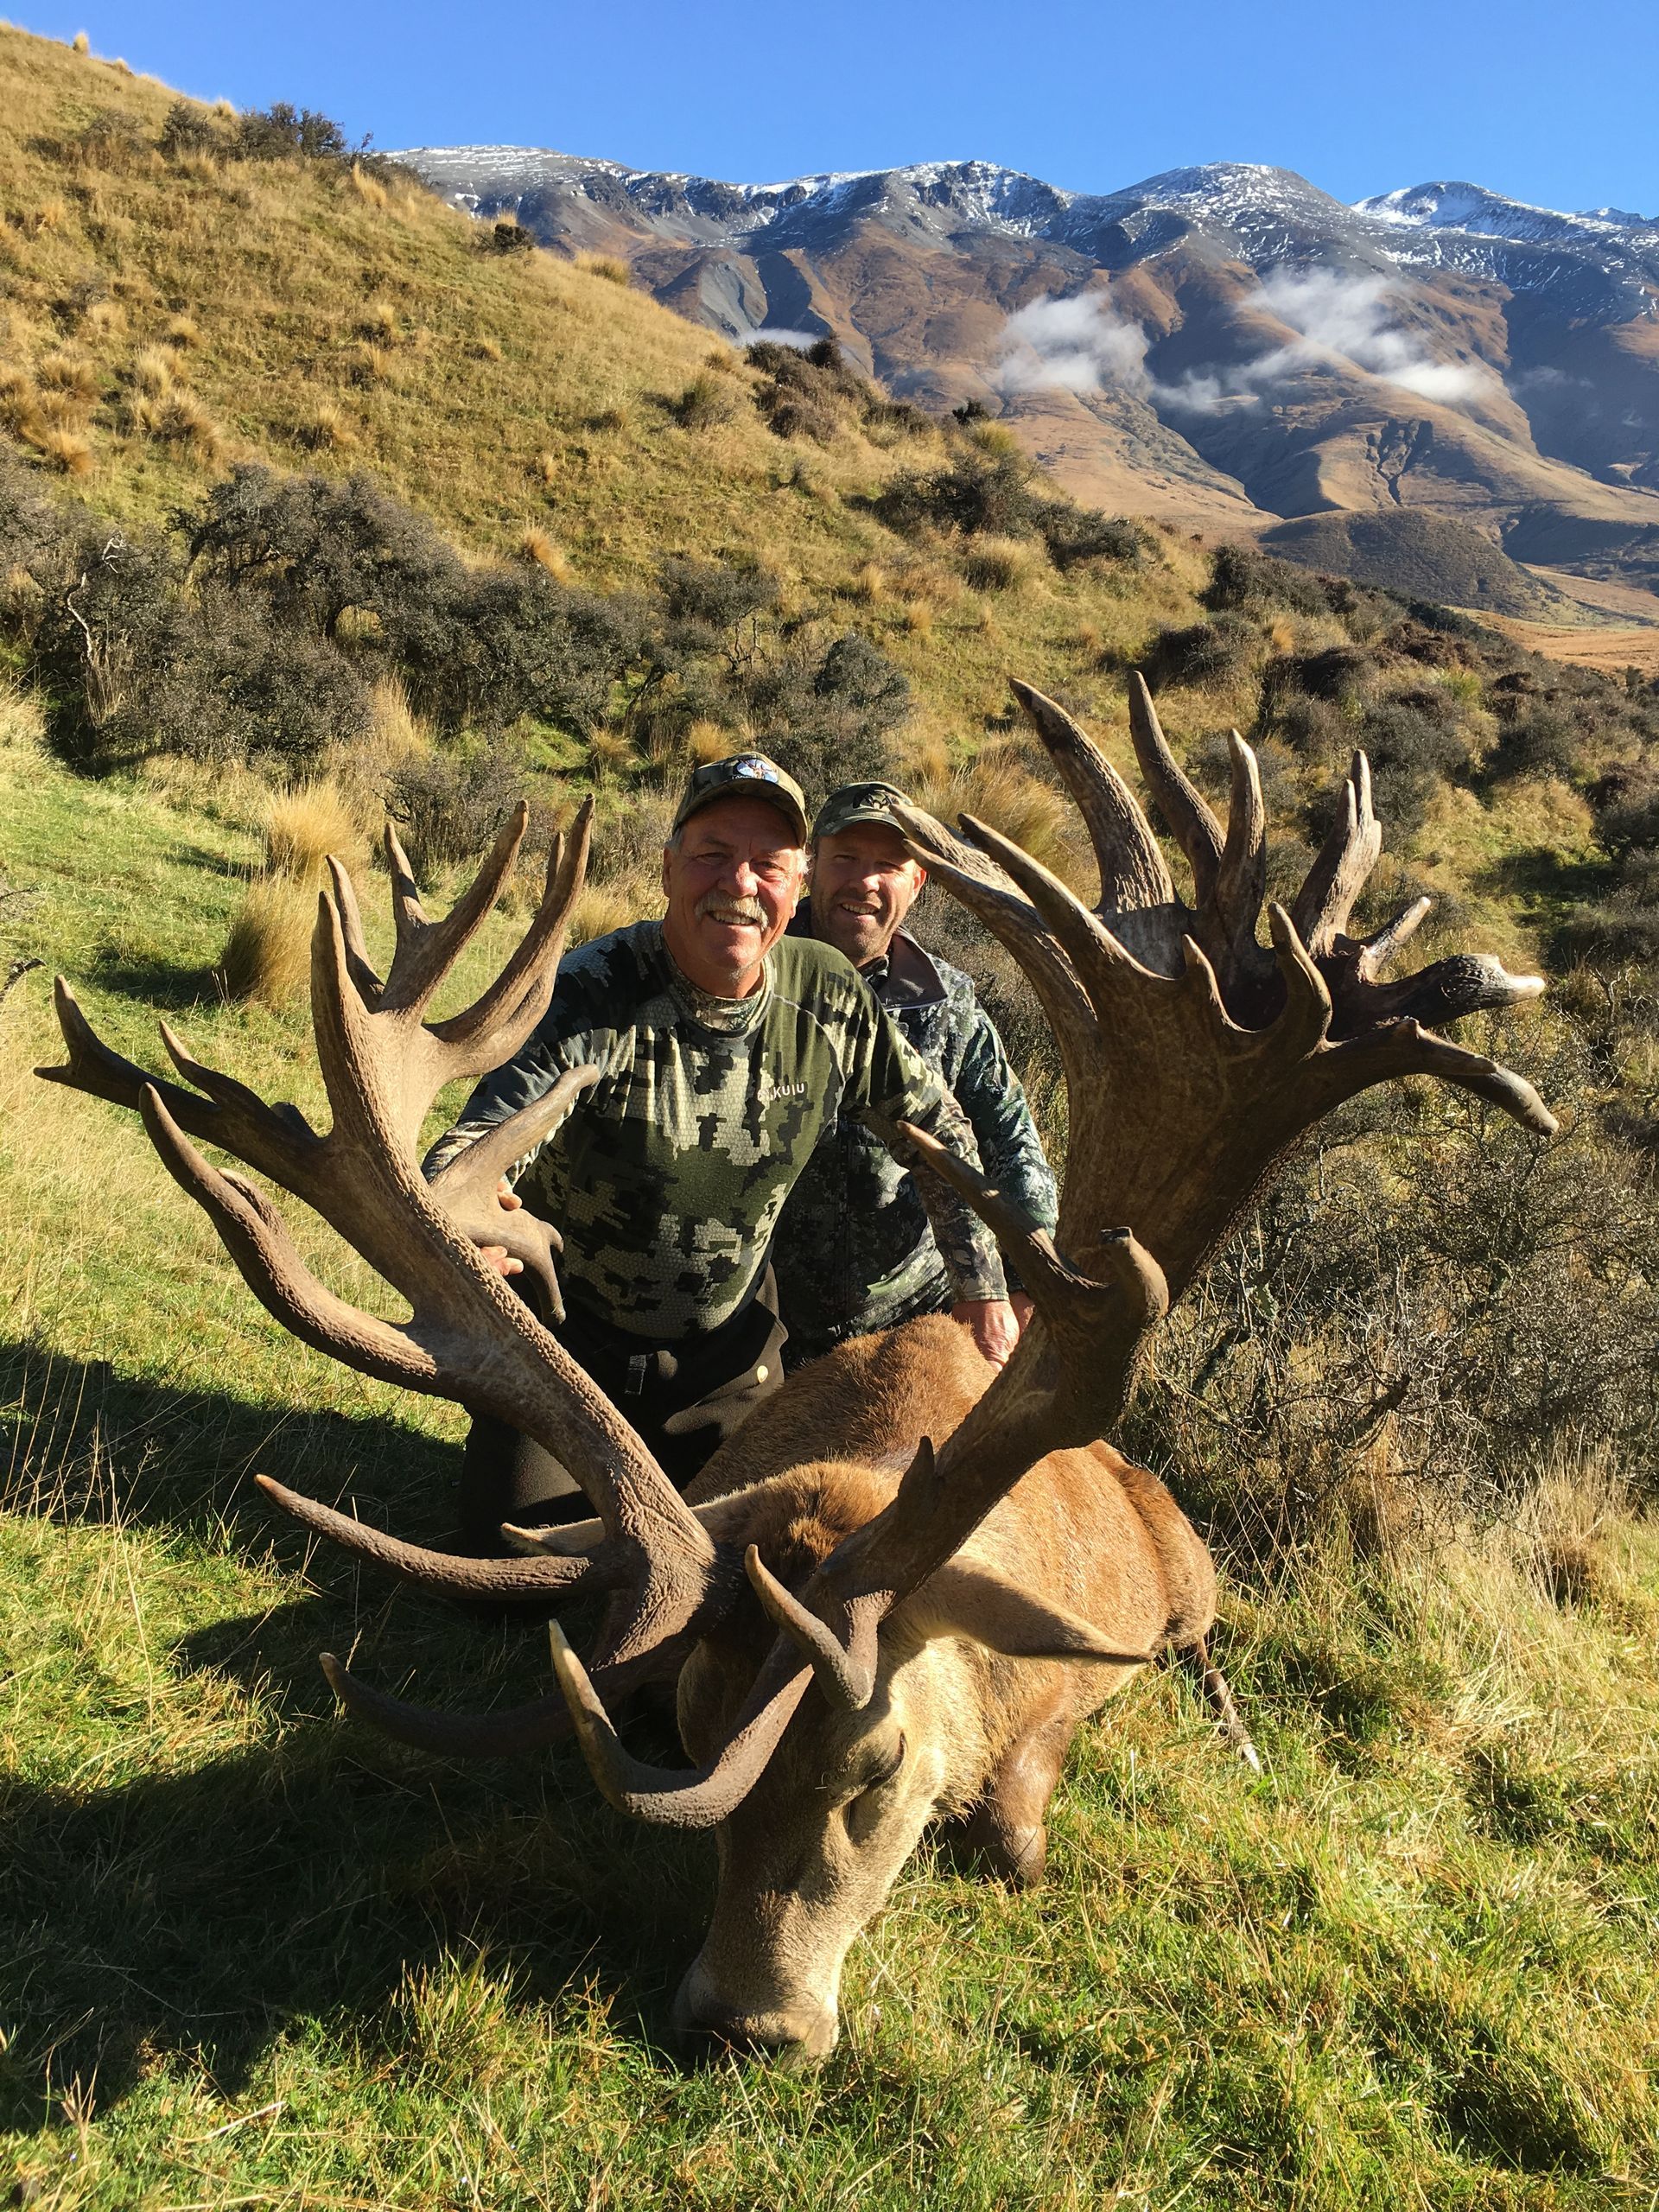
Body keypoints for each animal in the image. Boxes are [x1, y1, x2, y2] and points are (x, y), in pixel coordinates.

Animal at [38, 674, 1555, 2065]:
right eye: (683, 1722)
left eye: (878, 1767)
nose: (746, 2023)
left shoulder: (1059, 1683)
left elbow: (1020, 1828)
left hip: (1192, 1569)